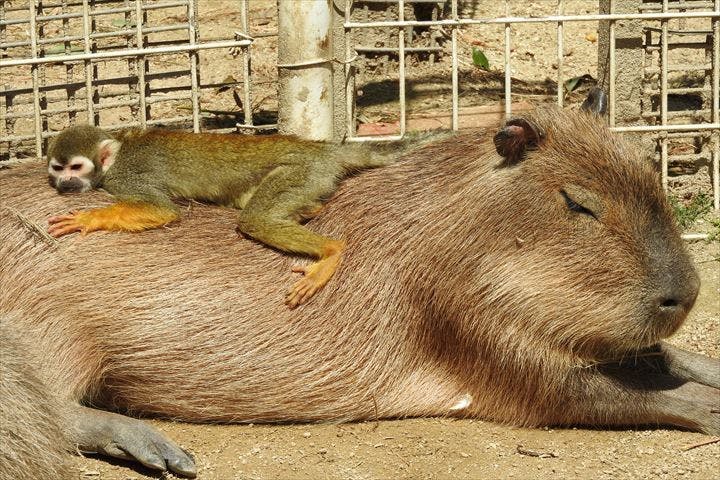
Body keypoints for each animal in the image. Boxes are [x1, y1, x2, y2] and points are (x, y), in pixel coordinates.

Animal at [47, 125, 390, 308]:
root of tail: (325, 150)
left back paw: (332, 251)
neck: (115, 156)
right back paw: (310, 211)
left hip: (301, 172)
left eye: (75, 167)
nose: (65, 183)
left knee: (256, 220)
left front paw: (88, 219)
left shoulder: (125, 179)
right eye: (58, 168)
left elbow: (162, 209)